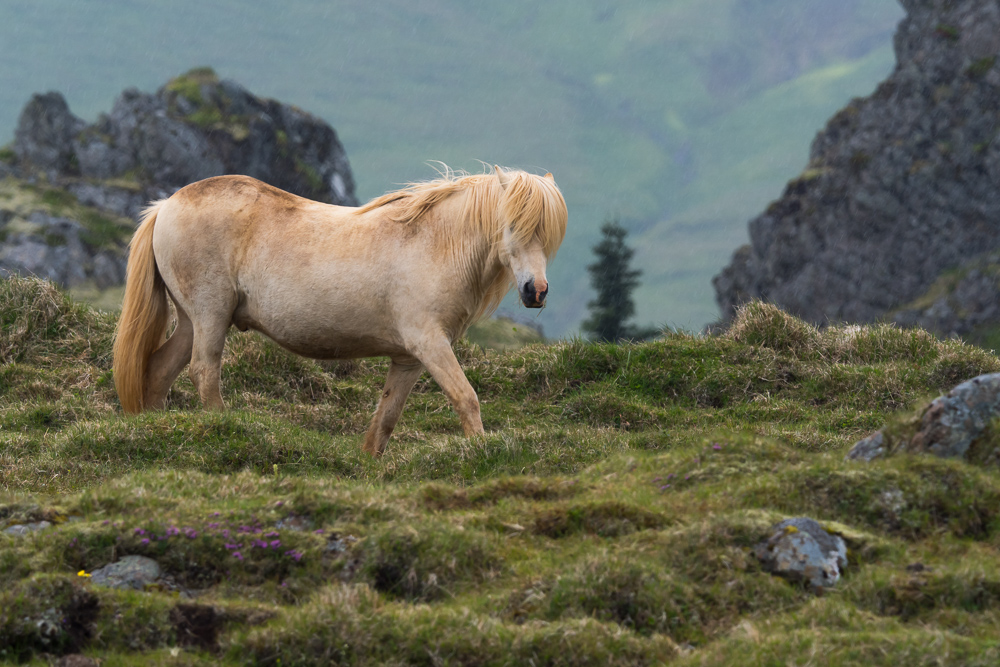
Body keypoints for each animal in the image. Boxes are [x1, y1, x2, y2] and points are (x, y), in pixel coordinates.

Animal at [112, 167, 568, 456]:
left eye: (548, 235)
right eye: (513, 226)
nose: (536, 291)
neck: (435, 242)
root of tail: (166, 205)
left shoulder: (408, 358)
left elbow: (386, 418)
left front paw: (369, 467)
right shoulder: (430, 344)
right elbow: (466, 398)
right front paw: (480, 454)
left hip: (192, 320)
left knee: (159, 371)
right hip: (210, 315)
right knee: (204, 372)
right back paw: (225, 428)